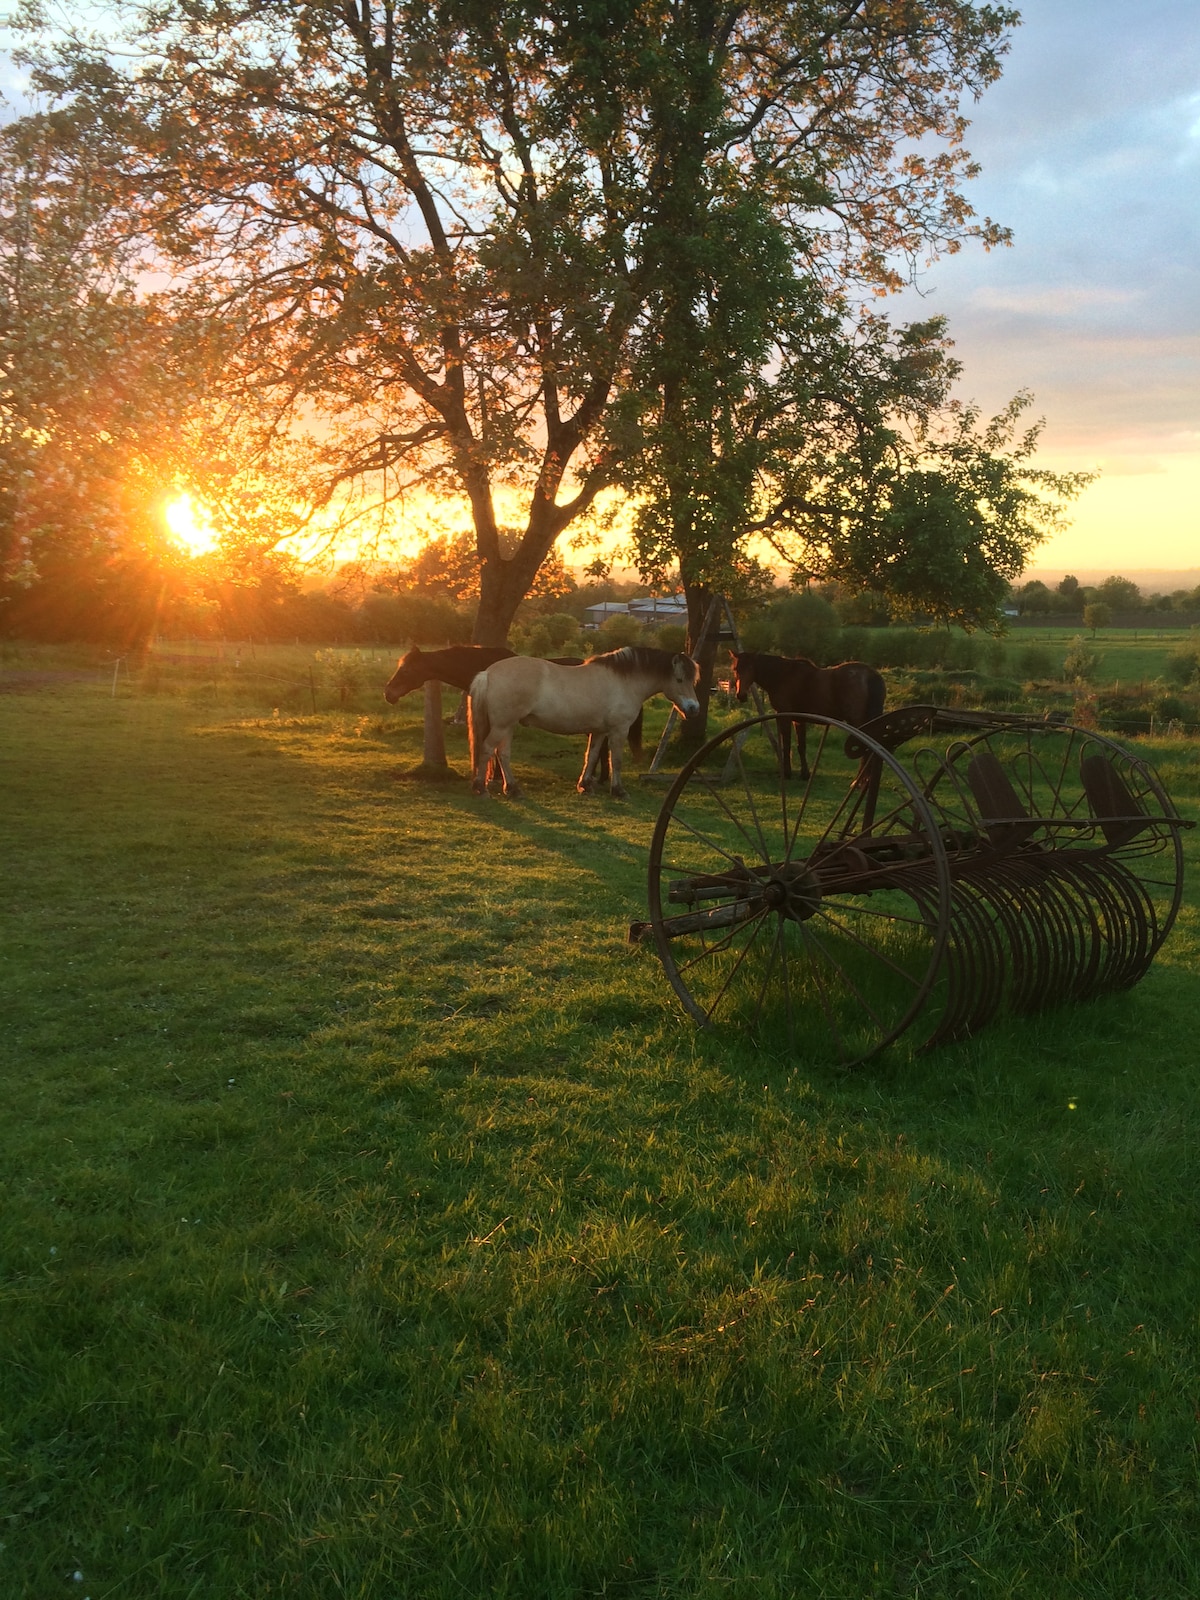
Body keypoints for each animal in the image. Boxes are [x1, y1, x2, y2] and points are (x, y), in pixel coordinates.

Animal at [464, 643, 700, 800]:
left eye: (692, 680)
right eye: (679, 679)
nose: (693, 708)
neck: (623, 680)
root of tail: (488, 673)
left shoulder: (600, 731)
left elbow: (592, 756)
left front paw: (585, 785)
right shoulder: (619, 730)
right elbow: (616, 760)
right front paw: (618, 791)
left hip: (508, 726)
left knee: (502, 754)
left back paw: (512, 789)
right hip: (502, 726)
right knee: (487, 749)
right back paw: (481, 788)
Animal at [729, 646, 889, 777]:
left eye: (750, 668)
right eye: (735, 669)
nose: (741, 695)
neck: (783, 676)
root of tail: (870, 674)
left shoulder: (784, 716)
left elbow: (786, 744)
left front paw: (787, 773)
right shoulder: (799, 720)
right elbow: (801, 746)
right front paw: (805, 774)